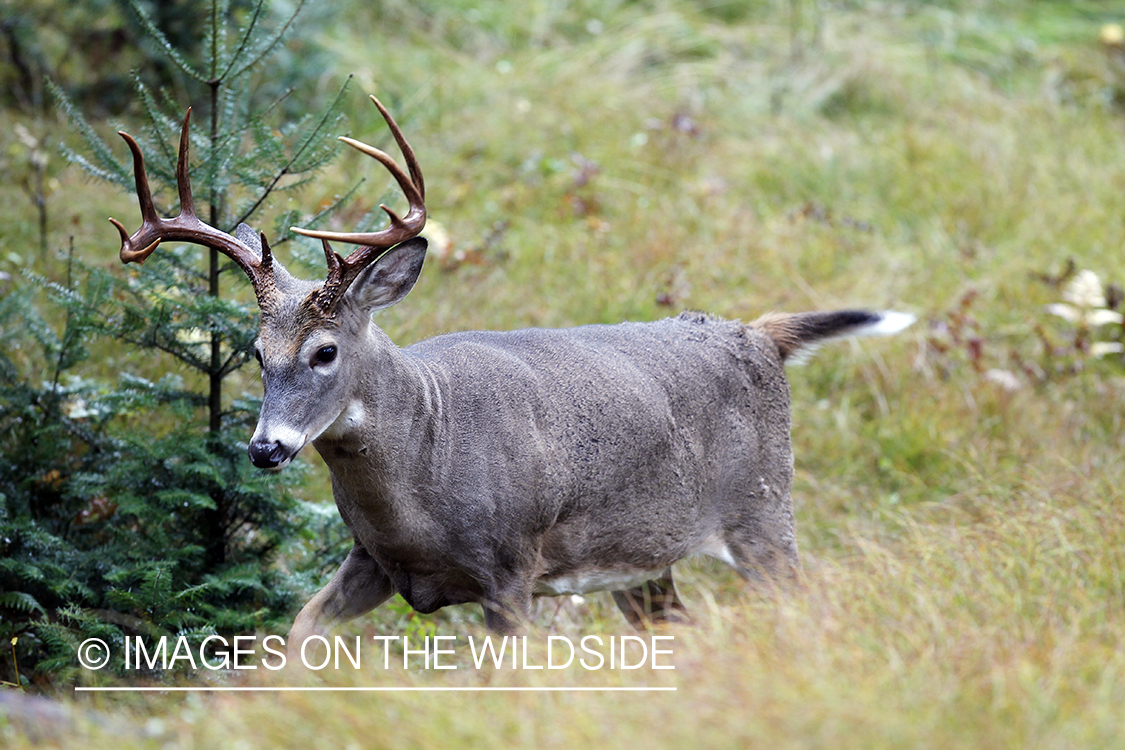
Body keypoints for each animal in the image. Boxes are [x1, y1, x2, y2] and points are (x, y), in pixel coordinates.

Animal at [107, 93, 913, 647]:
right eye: (255, 351)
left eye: (324, 351)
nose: (265, 448)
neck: (424, 460)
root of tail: (760, 334)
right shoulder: (371, 560)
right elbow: (297, 633)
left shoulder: (511, 570)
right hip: (648, 557)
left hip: (762, 508)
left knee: (805, 600)